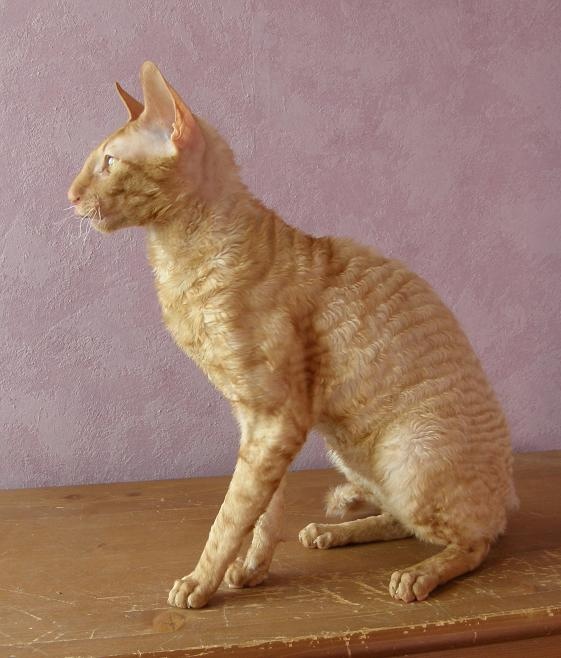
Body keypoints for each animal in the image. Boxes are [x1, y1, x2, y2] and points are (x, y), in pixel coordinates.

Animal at [66, 61, 516, 604]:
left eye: (109, 162)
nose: (69, 196)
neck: (181, 258)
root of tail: (508, 493)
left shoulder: (277, 416)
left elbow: (233, 513)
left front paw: (201, 582)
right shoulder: (256, 419)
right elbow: (265, 508)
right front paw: (252, 570)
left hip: (409, 454)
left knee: (474, 540)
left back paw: (418, 575)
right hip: (355, 453)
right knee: (406, 522)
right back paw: (334, 531)